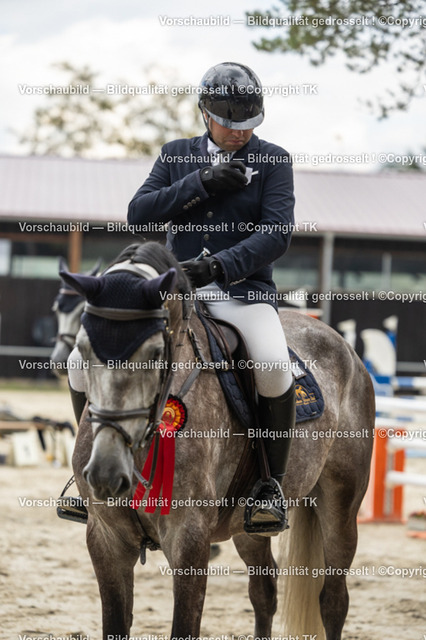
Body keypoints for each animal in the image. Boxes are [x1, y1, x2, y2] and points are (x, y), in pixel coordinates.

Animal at [61, 241, 375, 640]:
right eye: (84, 351)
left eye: (155, 353)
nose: (105, 472)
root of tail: (343, 345)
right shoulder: (105, 539)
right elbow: (115, 623)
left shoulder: (189, 539)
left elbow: (185, 625)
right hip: (247, 526)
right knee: (264, 591)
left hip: (341, 504)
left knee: (333, 600)